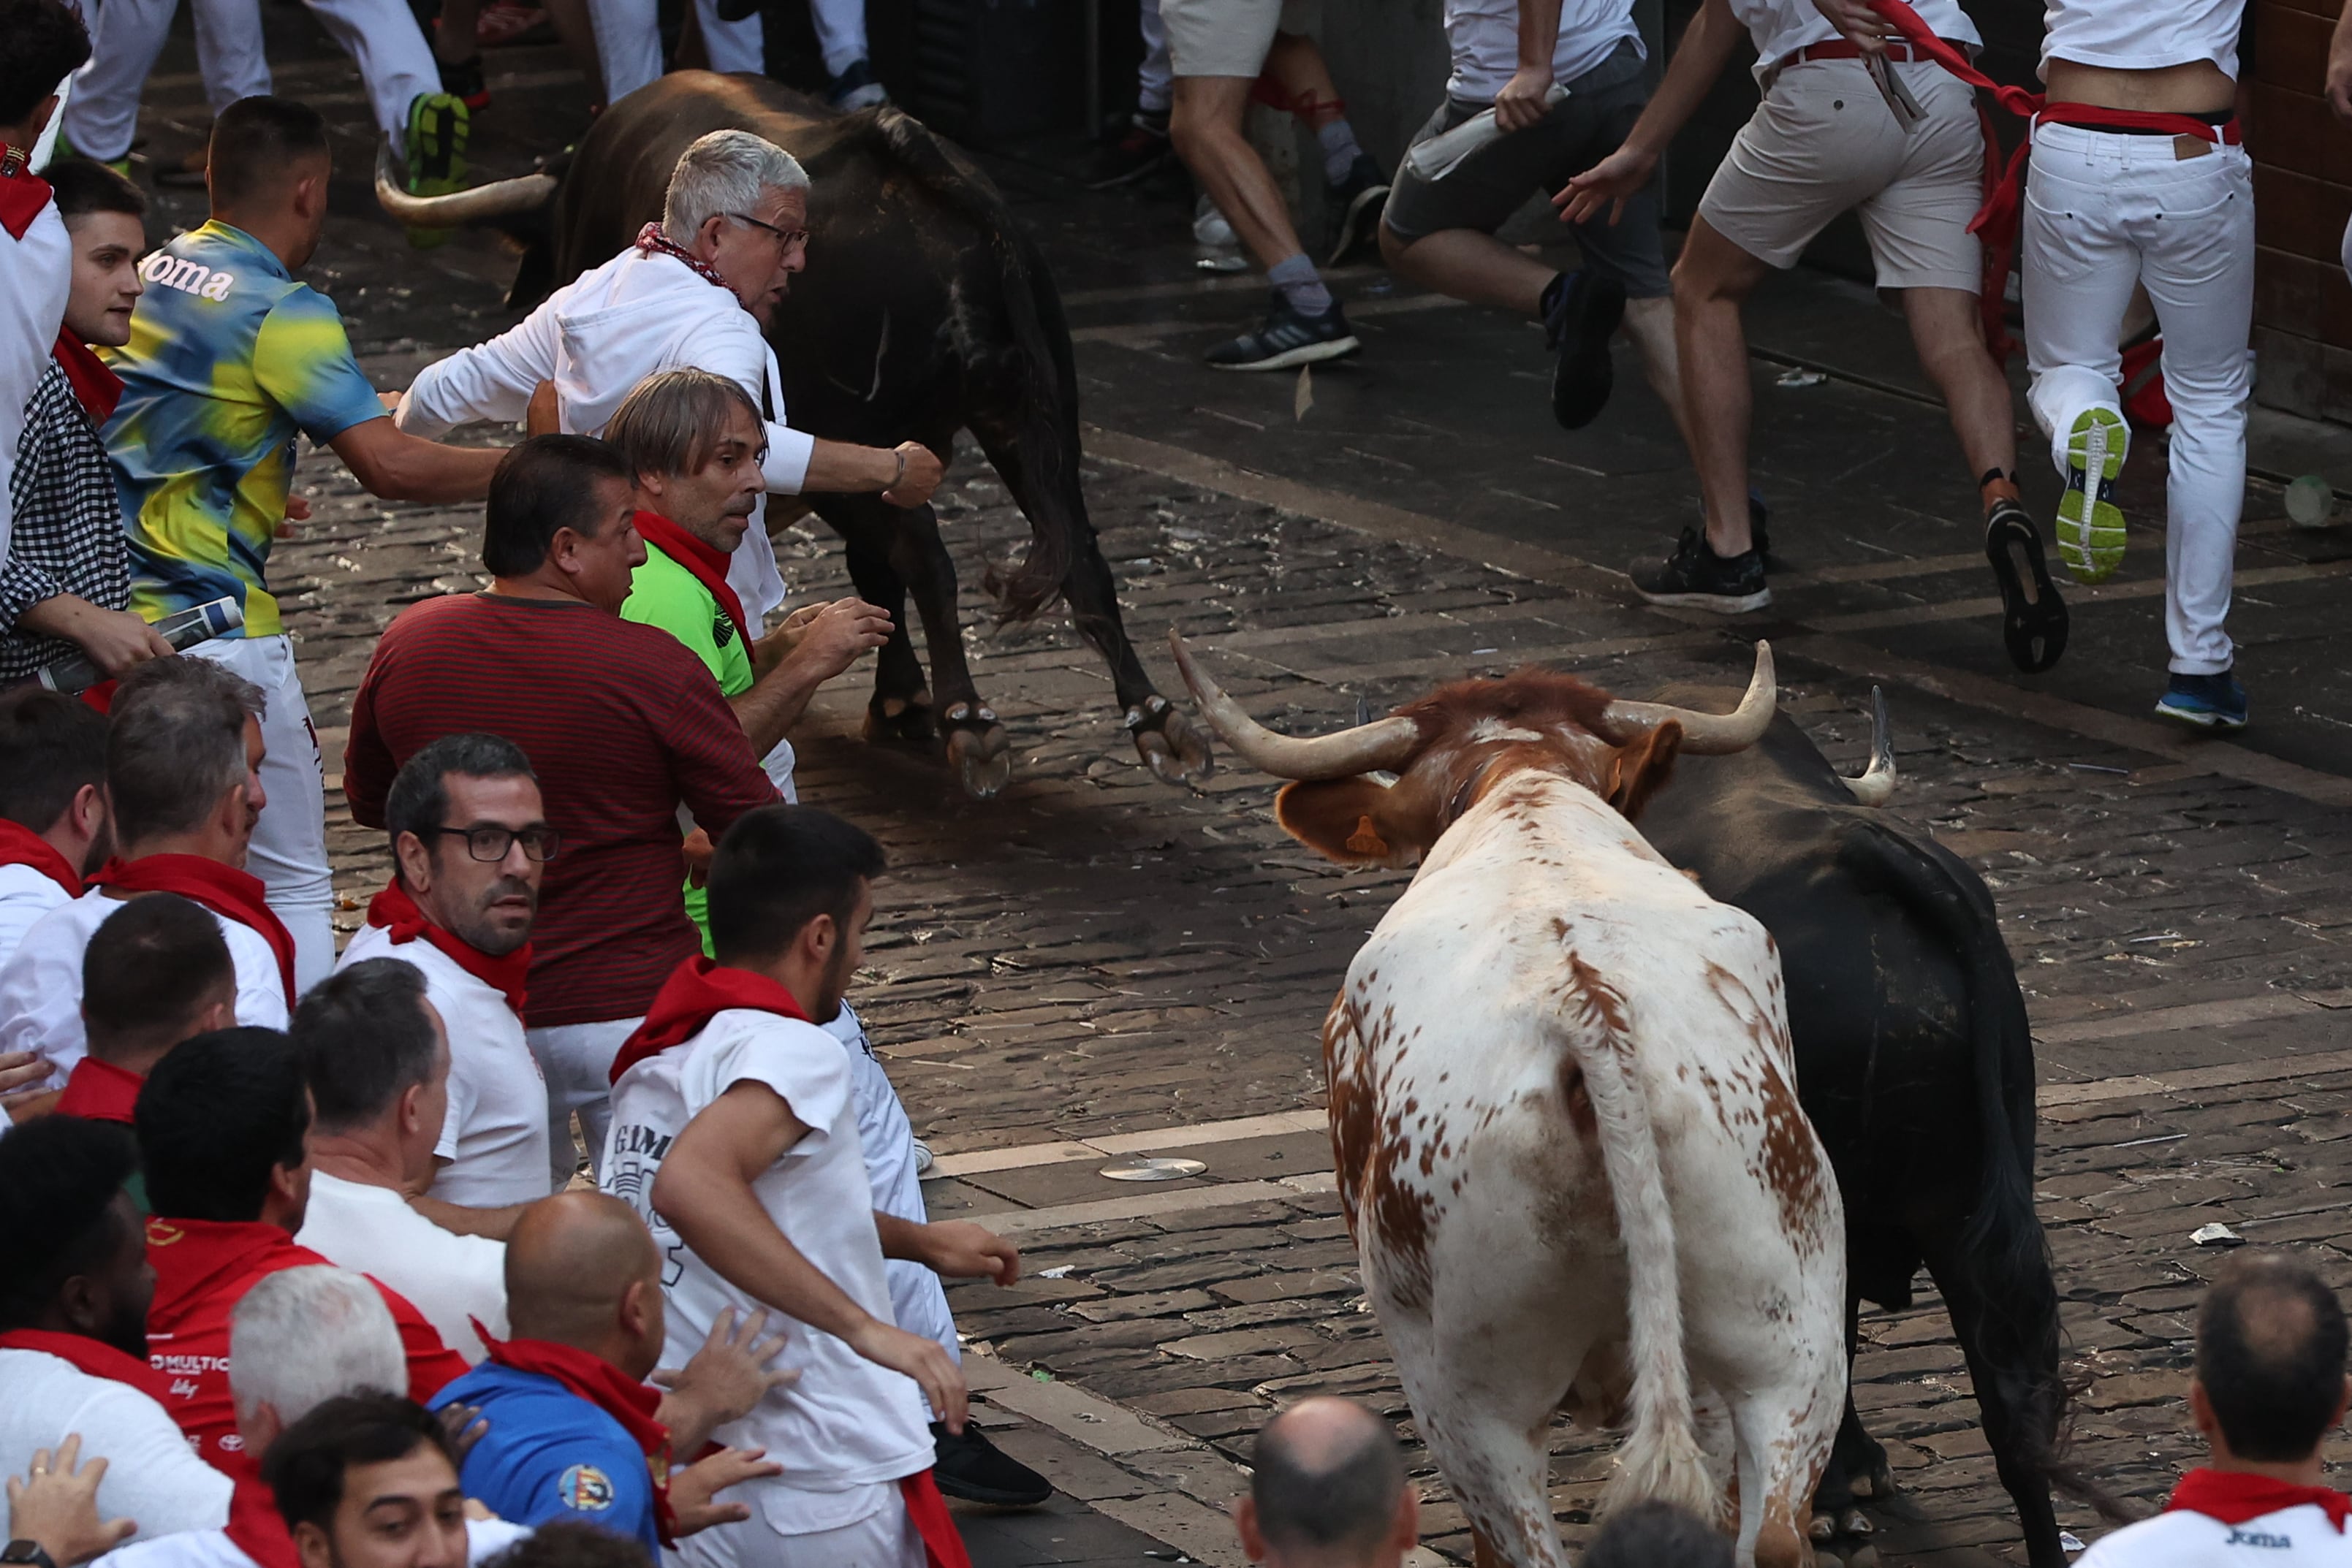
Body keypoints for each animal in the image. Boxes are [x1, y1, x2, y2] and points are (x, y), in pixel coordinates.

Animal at [390, 76, 1213, 799]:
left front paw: (909, 698)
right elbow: (879, 567)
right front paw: (900, 696)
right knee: (1073, 547)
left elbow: (886, 561)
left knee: (930, 557)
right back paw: (1154, 719)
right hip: (1033, 414)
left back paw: (970, 720)